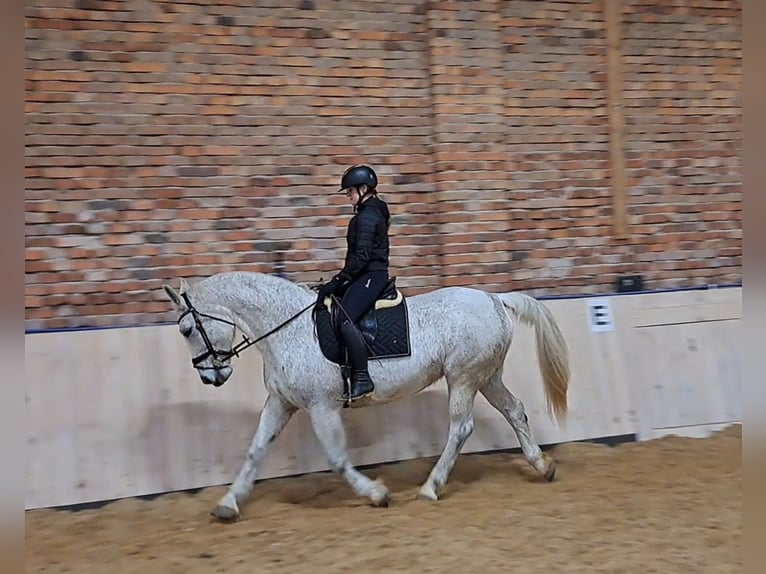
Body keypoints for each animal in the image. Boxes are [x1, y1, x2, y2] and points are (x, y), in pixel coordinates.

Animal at [164, 272, 568, 524]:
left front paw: (376, 493)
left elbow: (337, 458)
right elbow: (255, 450)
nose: (210, 376)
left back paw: (430, 488)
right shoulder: (282, 403)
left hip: (464, 378)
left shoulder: (321, 406)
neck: (288, 327)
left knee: (461, 427)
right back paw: (542, 465)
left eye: (186, 330)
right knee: (515, 410)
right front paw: (227, 504)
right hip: (486, 376)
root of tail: (493, 298)